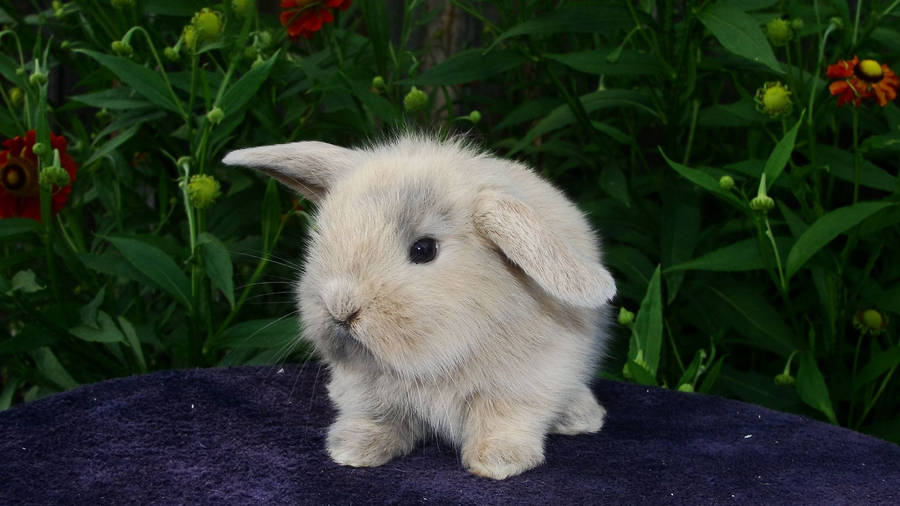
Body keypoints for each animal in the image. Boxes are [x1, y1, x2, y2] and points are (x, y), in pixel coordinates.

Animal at [222, 134, 616, 480]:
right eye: (323, 236)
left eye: (423, 249)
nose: (341, 309)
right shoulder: (367, 390)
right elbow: (377, 418)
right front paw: (351, 450)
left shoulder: (525, 385)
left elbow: (504, 421)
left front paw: (497, 462)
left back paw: (583, 417)